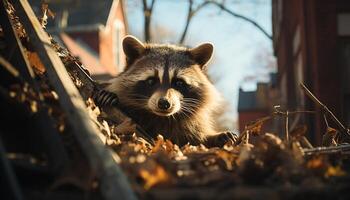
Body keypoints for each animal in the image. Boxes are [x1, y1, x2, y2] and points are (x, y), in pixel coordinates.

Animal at [97, 35, 237, 147]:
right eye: (151, 81)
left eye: (179, 82)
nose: (164, 103)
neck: (163, 118)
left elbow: (198, 138)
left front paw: (216, 136)